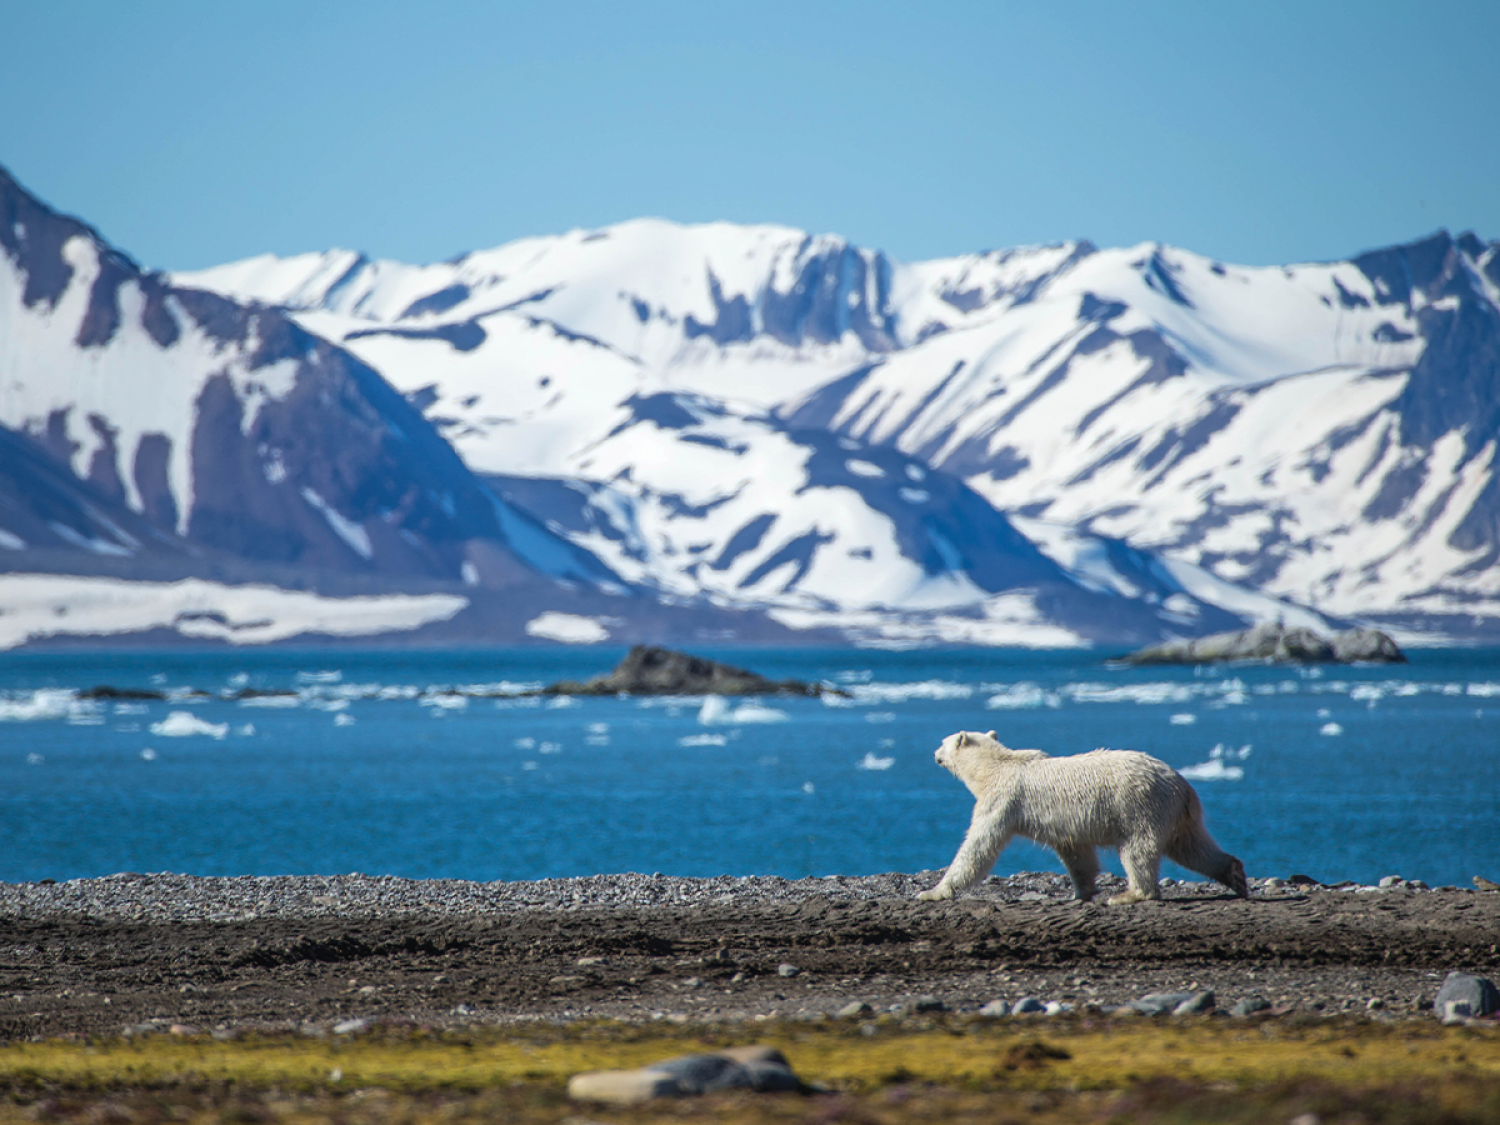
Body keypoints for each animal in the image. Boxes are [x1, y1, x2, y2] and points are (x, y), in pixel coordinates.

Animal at [912, 732, 1254, 906]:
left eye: (942, 742)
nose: (933, 753)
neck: (993, 767)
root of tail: (1183, 785)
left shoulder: (1002, 799)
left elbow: (978, 846)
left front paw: (933, 891)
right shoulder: (1063, 824)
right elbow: (1076, 853)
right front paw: (1082, 891)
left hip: (1140, 806)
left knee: (1138, 850)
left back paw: (1129, 894)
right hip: (1178, 814)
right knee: (1191, 847)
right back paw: (1234, 873)